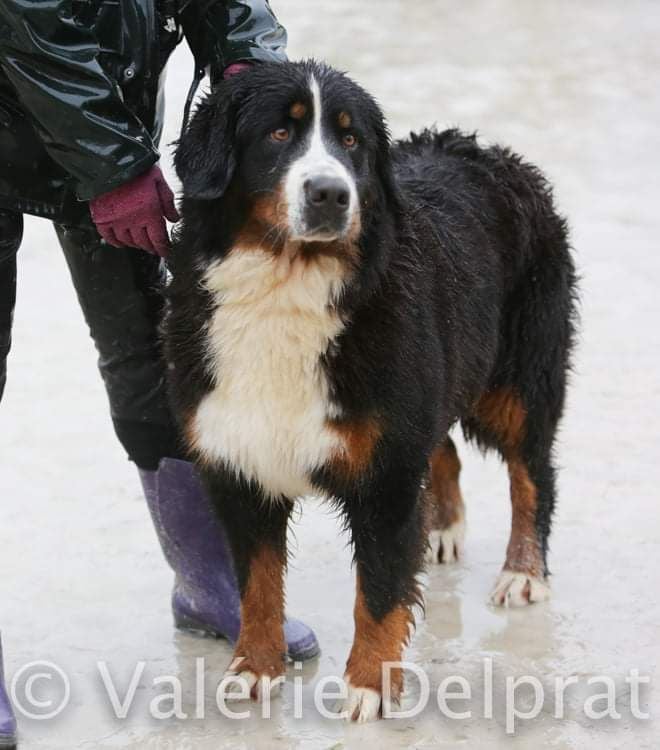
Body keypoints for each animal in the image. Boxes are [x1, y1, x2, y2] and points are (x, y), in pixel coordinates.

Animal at [165, 63, 576, 724]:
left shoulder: (384, 474)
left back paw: (523, 572)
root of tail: (491, 151)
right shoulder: (241, 459)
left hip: (518, 382)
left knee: (531, 472)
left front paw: (369, 687)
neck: (288, 286)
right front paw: (255, 670)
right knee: (445, 450)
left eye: (351, 141)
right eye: (279, 132)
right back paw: (441, 527)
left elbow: (378, 593)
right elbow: (257, 585)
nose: (331, 194)